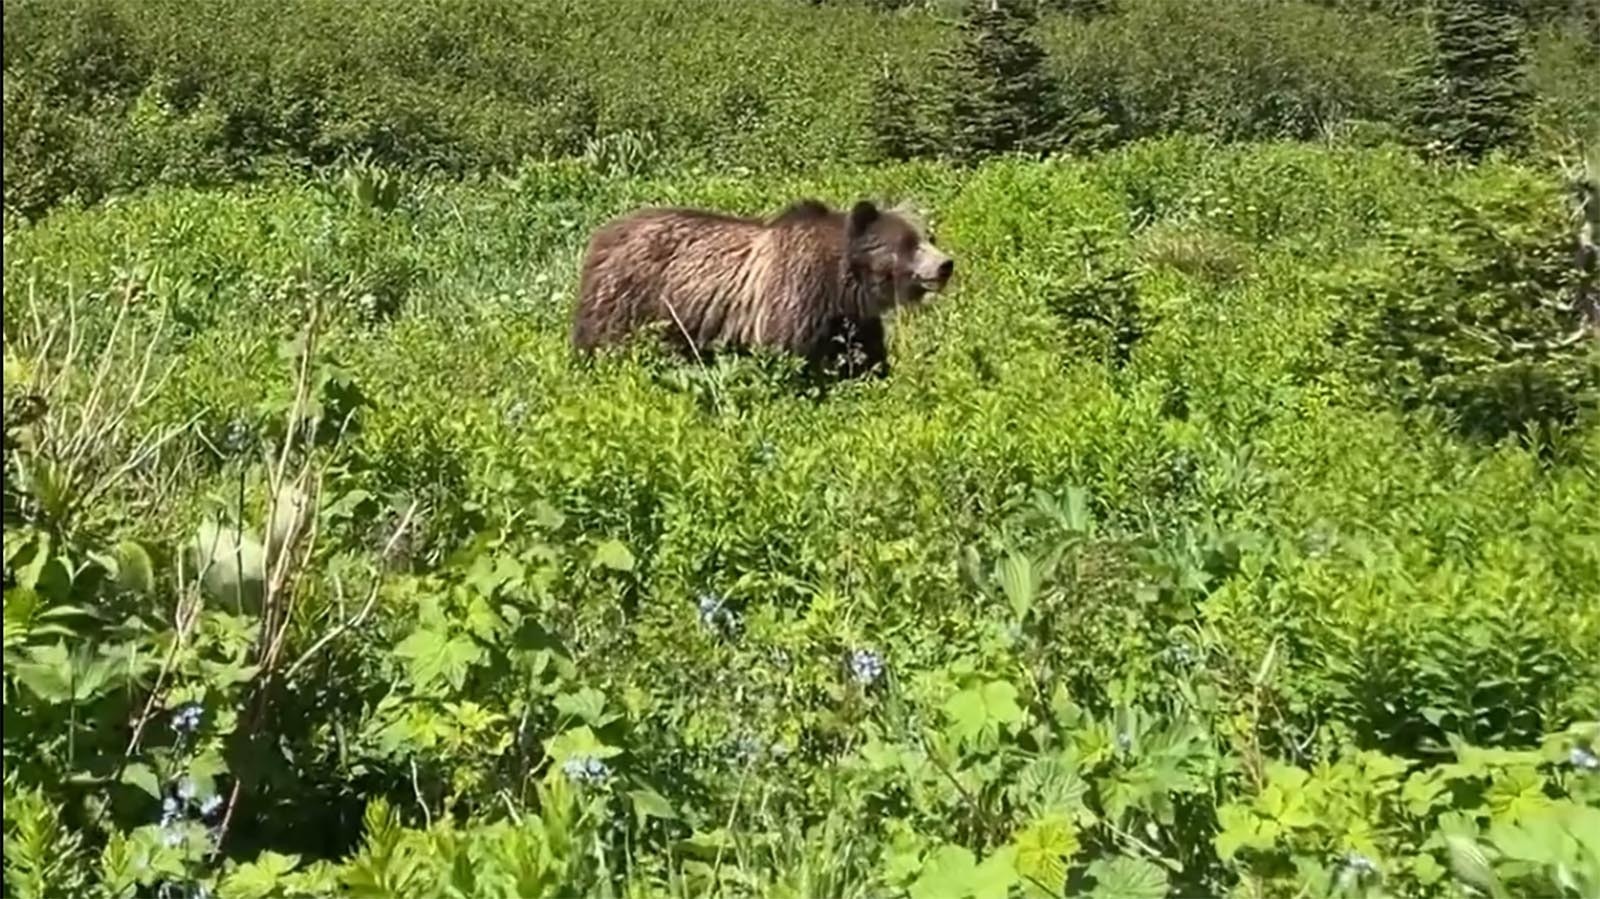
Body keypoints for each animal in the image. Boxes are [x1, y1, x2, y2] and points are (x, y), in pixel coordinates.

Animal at [572, 195, 953, 377]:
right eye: (907, 243)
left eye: (928, 236)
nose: (946, 264)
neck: (842, 286)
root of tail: (600, 236)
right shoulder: (795, 299)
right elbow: (790, 359)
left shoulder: (852, 321)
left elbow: (863, 360)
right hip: (628, 304)